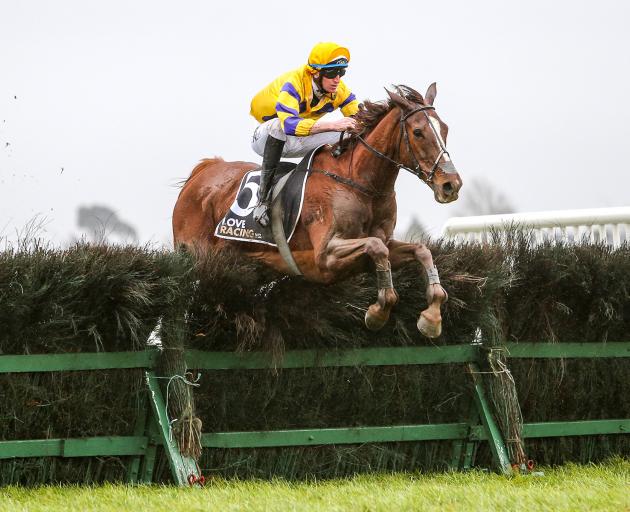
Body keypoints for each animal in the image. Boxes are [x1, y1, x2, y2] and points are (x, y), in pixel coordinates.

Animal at [173, 84, 464, 338]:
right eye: (418, 132)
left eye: (445, 129)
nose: (451, 185)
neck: (361, 184)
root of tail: (203, 172)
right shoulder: (325, 257)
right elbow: (376, 248)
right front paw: (378, 312)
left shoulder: (382, 244)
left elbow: (420, 251)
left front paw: (431, 318)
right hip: (200, 257)